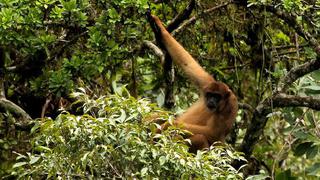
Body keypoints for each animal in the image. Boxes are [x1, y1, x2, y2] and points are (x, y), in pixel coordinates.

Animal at [148, 13, 238, 153]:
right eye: (210, 94)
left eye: (217, 97)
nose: (211, 101)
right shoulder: (207, 83)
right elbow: (188, 64)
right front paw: (159, 27)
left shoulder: (231, 105)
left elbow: (213, 133)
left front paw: (171, 124)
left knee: (200, 138)